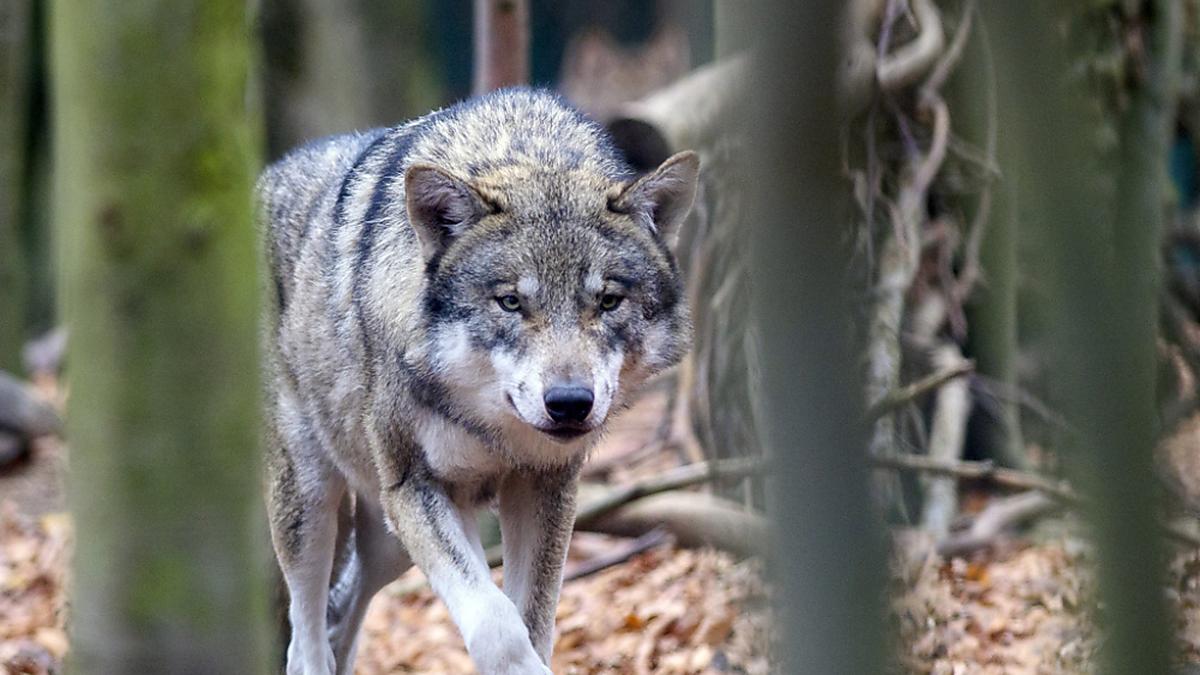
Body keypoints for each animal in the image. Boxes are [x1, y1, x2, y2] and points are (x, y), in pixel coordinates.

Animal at [258, 89, 700, 672]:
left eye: (607, 301)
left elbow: (531, 620)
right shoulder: (416, 488)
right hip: (314, 502)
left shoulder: (545, 486)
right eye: (510, 301)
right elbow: (497, 625)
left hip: (388, 543)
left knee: (341, 618)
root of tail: (262, 179)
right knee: (304, 638)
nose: (569, 403)